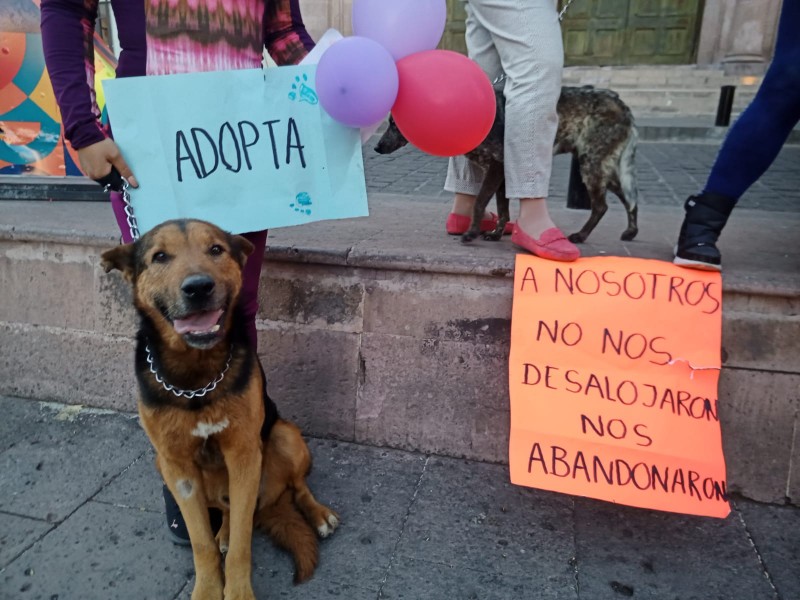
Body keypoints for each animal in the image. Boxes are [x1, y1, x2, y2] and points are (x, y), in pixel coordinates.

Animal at [101, 220, 340, 600]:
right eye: (160, 256)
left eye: (216, 249)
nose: (198, 287)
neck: (196, 377)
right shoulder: (178, 467)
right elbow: (202, 543)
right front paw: (209, 589)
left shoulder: (243, 455)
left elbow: (243, 543)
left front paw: (238, 591)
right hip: (164, 465)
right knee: (226, 508)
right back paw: (224, 531)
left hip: (285, 437)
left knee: (295, 486)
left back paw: (318, 515)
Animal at [374, 84, 636, 246]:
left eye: (395, 125)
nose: (376, 147)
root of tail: (621, 103)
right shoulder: (503, 176)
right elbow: (502, 209)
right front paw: (495, 233)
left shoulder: (497, 168)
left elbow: (480, 201)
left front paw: (471, 233)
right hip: (603, 167)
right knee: (629, 199)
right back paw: (631, 232)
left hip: (591, 165)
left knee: (602, 205)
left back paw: (581, 236)